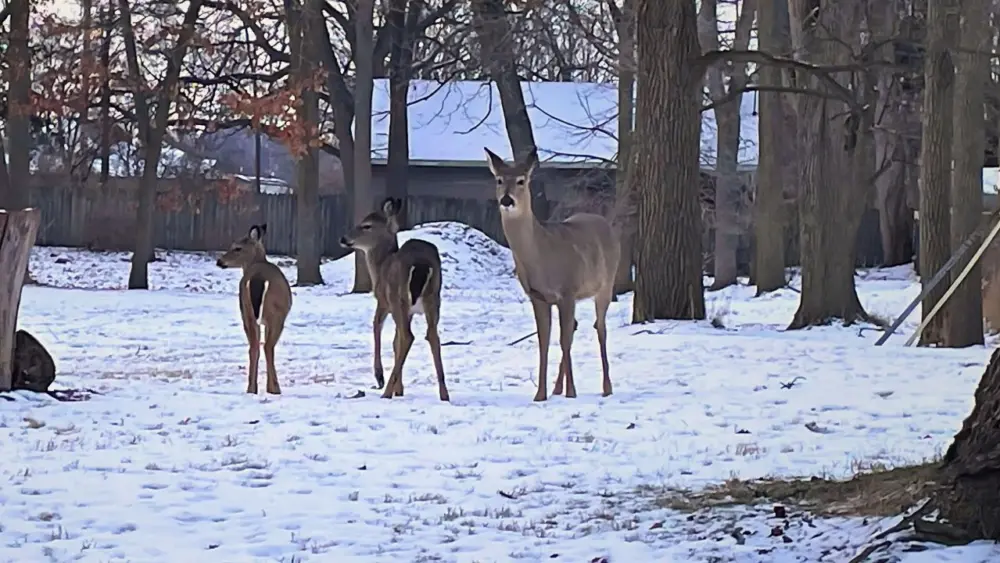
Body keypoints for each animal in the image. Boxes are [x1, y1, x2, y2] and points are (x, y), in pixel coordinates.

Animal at [216, 224, 292, 395]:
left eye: (237, 247)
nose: (219, 261)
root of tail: (258, 277)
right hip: (276, 314)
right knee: (268, 346)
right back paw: (274, 388)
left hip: (246, 311)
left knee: (253, 347)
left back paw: (251, 389)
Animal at [339, 197, 450, 402]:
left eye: (366, 225)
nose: (344, 238)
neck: (381, 265)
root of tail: (421, 263)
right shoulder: (410, 311)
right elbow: (395, 341)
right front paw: (400, 388)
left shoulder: (383, 301)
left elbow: (377, 327)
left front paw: (381, 377)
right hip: (433, 299)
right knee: (431, 335)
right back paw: (444, 394)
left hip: (398, 297)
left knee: (408, 336)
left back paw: (386, 392)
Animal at [484, 147, 620, 401]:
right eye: (499, 180)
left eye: (521, 180)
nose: (507, 200)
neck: (541, 256)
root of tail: (604, 222)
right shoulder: (538, 296)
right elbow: (544, 342)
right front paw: (541, 394)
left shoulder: (568, 290)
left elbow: (563, 341)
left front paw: (572, 393)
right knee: (575, 326)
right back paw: (558, 387)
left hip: (606, 283)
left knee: (600, 328)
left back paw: (607, 387)